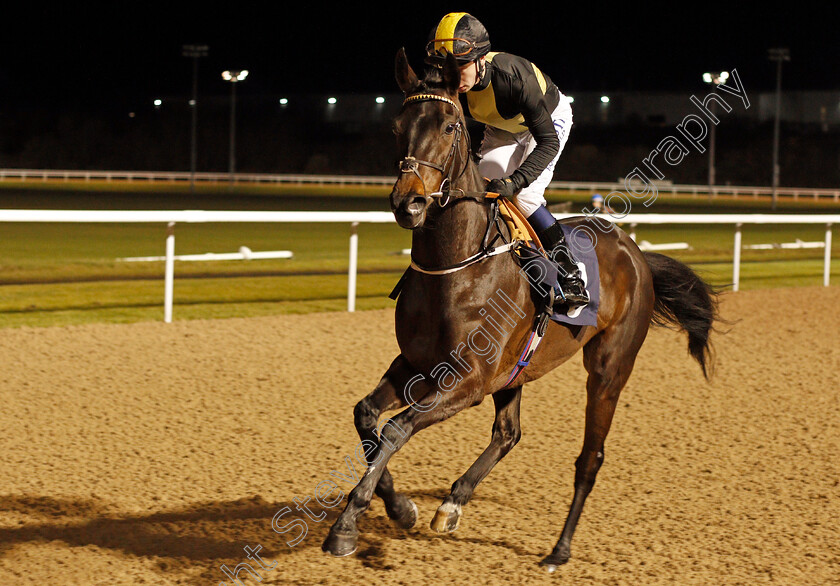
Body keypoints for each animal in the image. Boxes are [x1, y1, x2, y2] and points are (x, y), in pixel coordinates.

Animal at [320, 48, 716, 568]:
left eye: (450, 125)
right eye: (396, 125)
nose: (409, 203)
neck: (457, 265)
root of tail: (636, 255)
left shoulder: (467, 380)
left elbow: (395, 429)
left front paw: (348, 523)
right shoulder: (418, 363)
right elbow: (366, 415)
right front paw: (399, 506)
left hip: (609, 368)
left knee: (590, 458)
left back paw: (559, 549)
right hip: (516, 370)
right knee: (509, 432)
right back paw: (452, 503)